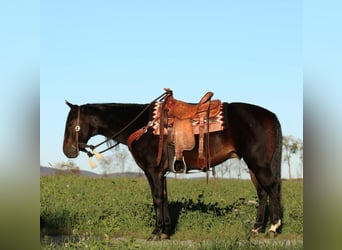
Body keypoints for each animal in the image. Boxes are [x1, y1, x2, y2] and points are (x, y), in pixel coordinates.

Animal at [62, 90, 282, 240]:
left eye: (72, 124)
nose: (68, 150)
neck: (143, 126)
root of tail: (270, 115)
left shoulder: (152, 171)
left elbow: (157, 198)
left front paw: (155, 232)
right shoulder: (162, 173)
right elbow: (165, 197)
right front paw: (166, 232)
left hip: (259, 164)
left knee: (272, 189)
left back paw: (273, 228)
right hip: (253, 166)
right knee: (262, 193)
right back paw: (256, 228)